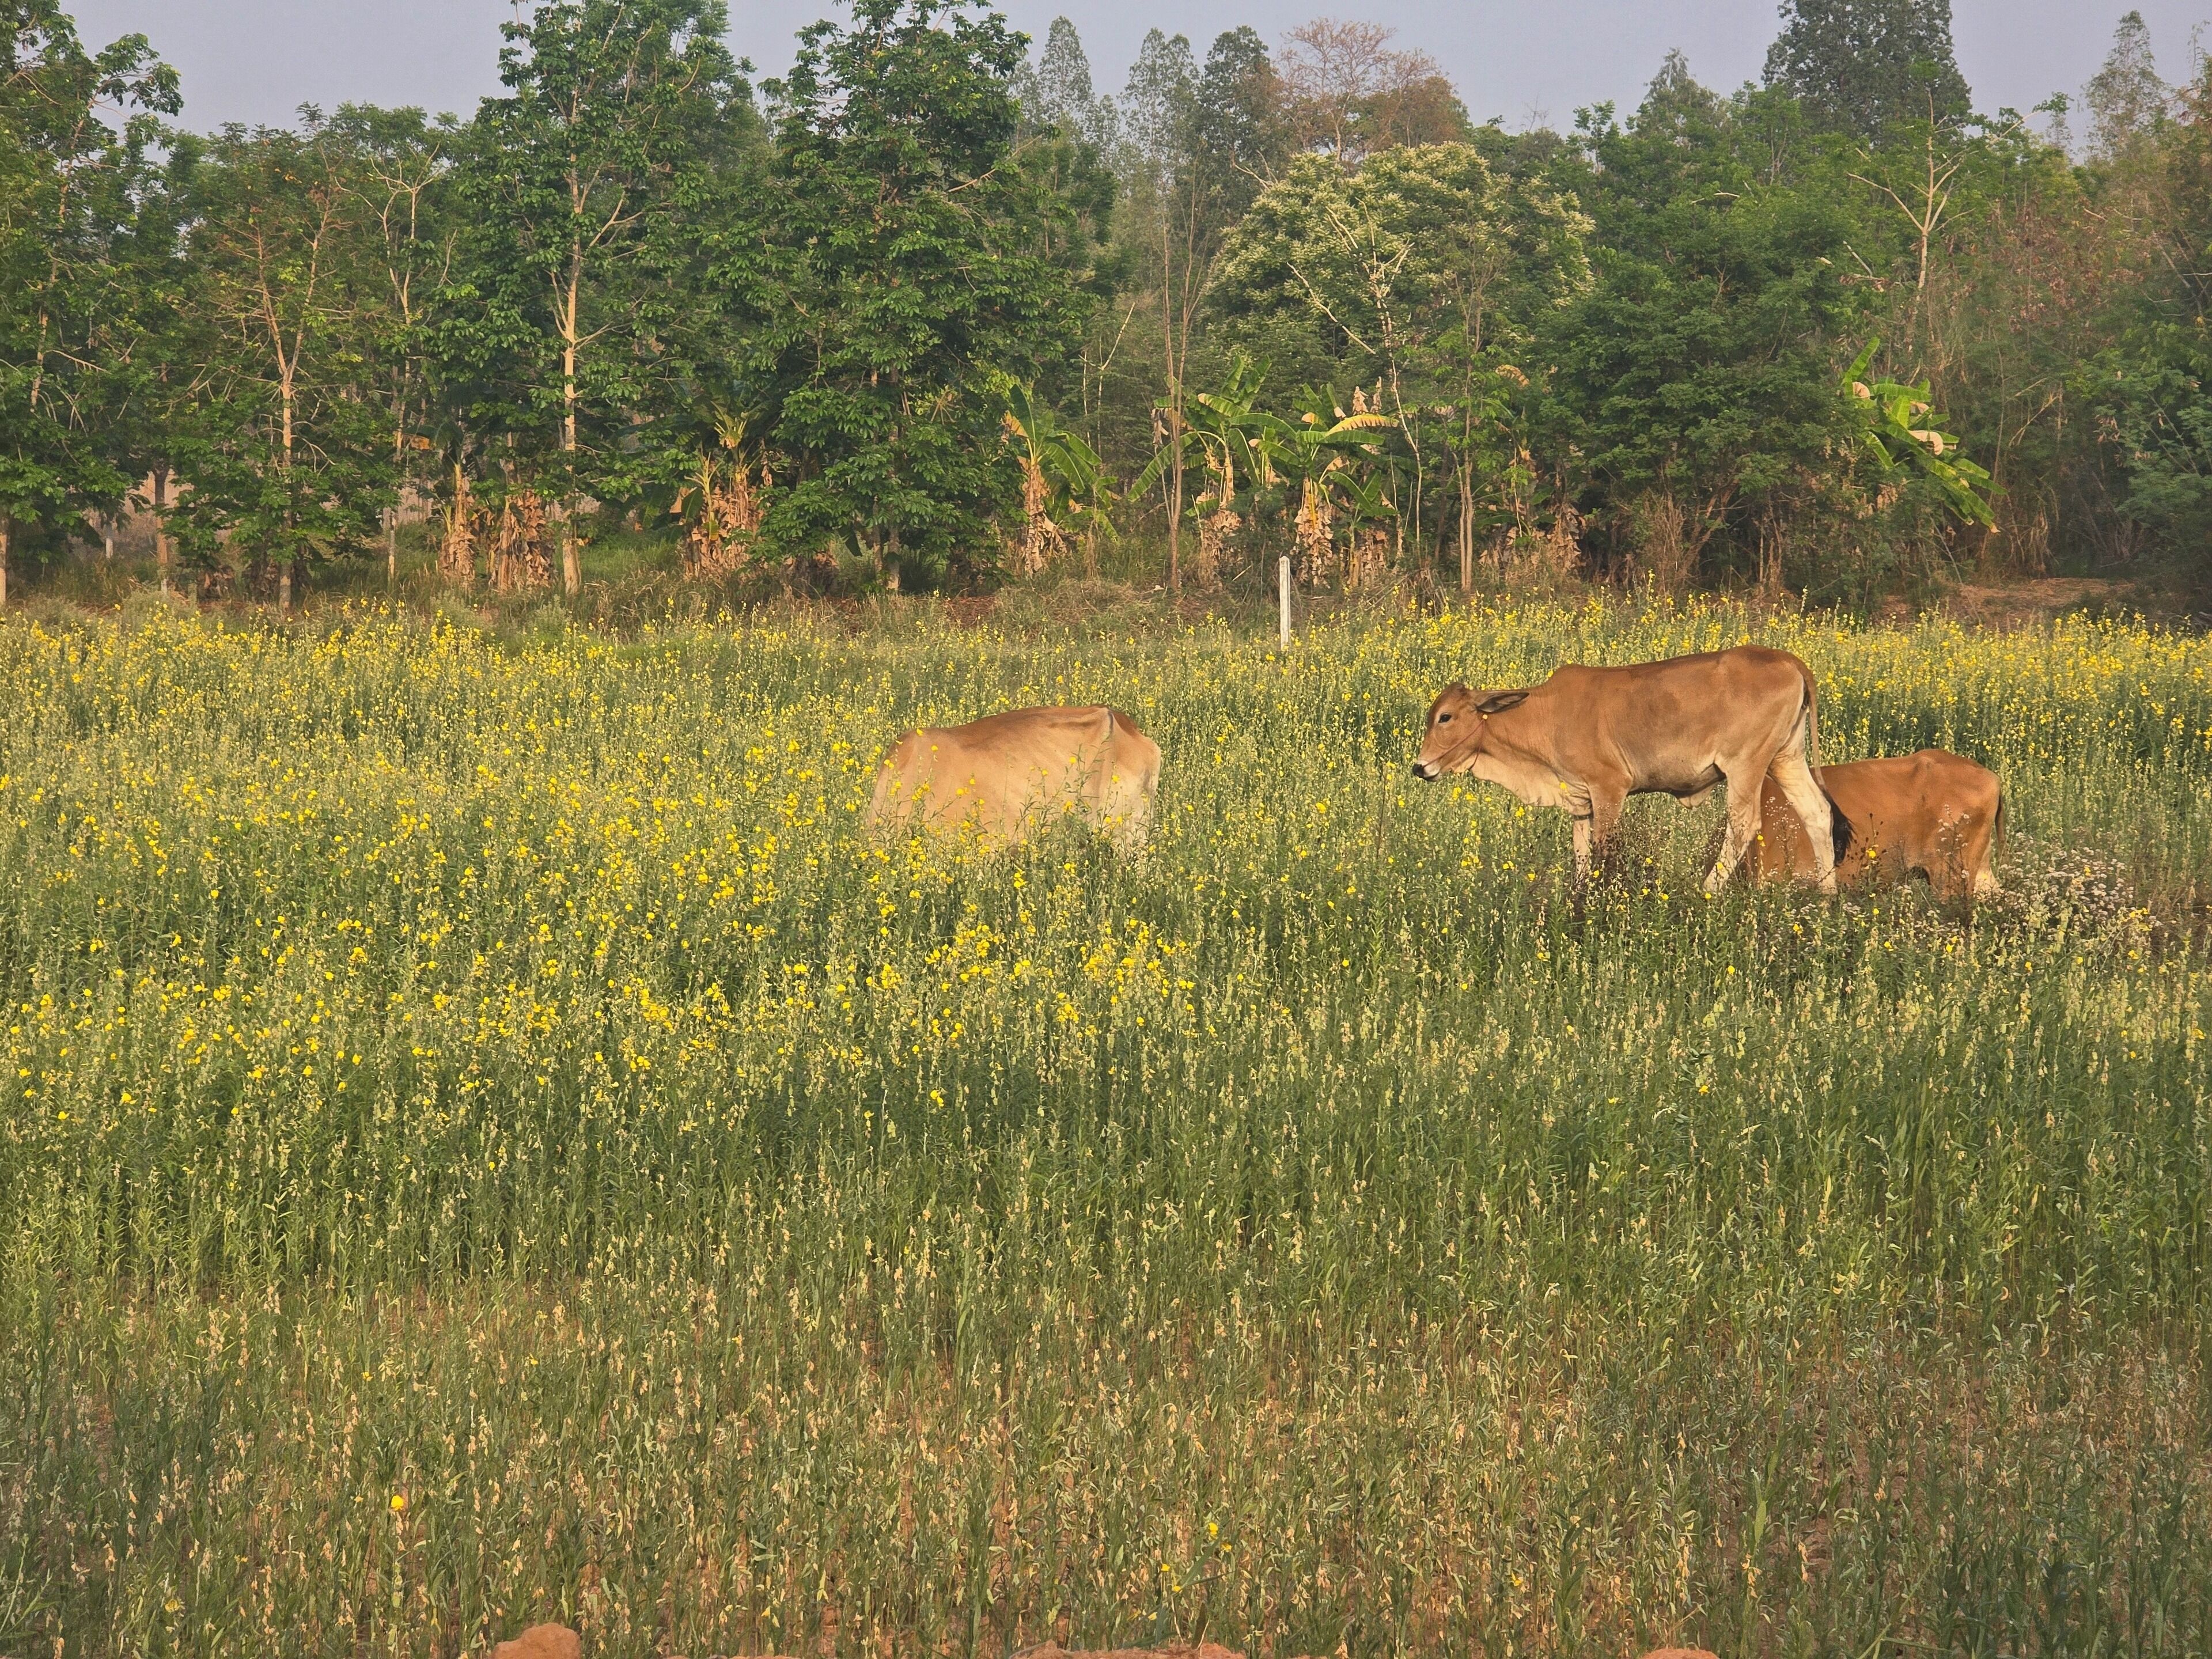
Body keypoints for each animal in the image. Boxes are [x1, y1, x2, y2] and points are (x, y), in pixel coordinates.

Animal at [1410, 645, 1844, 893]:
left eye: (1445, 717)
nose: (1419, 767)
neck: (1546, 715)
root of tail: (1790, 661)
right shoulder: (1581, 801)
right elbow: (1581, 858)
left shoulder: (1609, 790)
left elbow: (1604, 855)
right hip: (1786, 758)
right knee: (1817, 812)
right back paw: (1827, 898)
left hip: (1746, 765)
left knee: (1744, 824)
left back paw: (1705, 893)